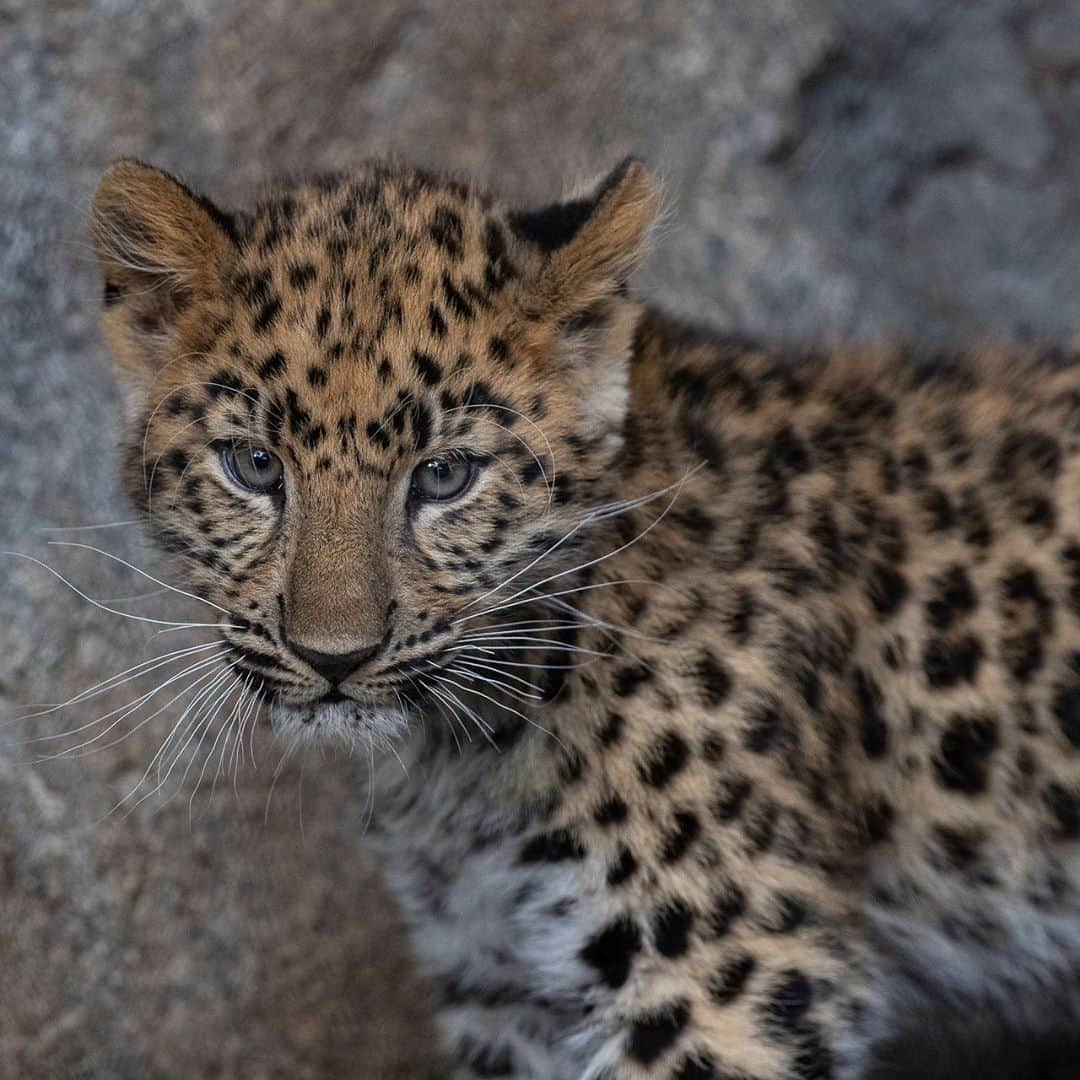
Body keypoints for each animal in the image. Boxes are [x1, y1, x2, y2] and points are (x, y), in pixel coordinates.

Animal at [86, 154, 1080, 1080]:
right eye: (254, 465)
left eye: (445, 476)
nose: (334, 658)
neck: (469, 759)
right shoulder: (504, 982)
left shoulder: (725, 970)